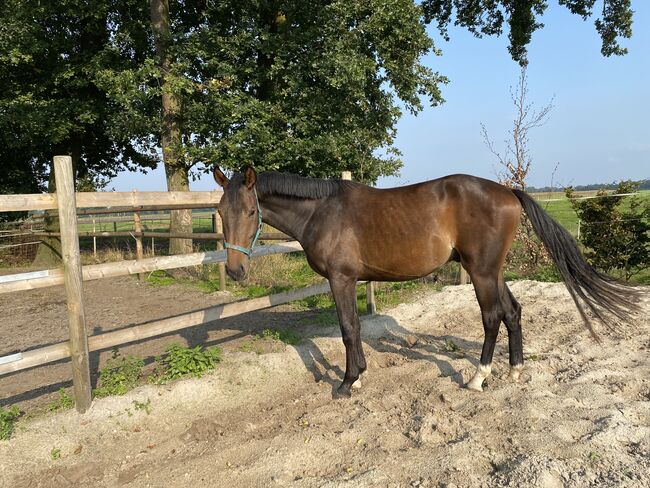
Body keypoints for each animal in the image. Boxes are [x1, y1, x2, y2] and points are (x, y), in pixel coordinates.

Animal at [213, 167, 636, 396]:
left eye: (250, 211)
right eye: (219, 210)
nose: (235, 271)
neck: (323, 211)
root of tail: (507, 192)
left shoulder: (341, 279)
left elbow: (349, 328)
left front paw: (348, 382)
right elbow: (355, 328)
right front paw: (359, 377)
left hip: (481, 272)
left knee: (492, 317)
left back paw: (478, 379)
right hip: (492, 270)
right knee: (514, 311)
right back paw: (515, 370)